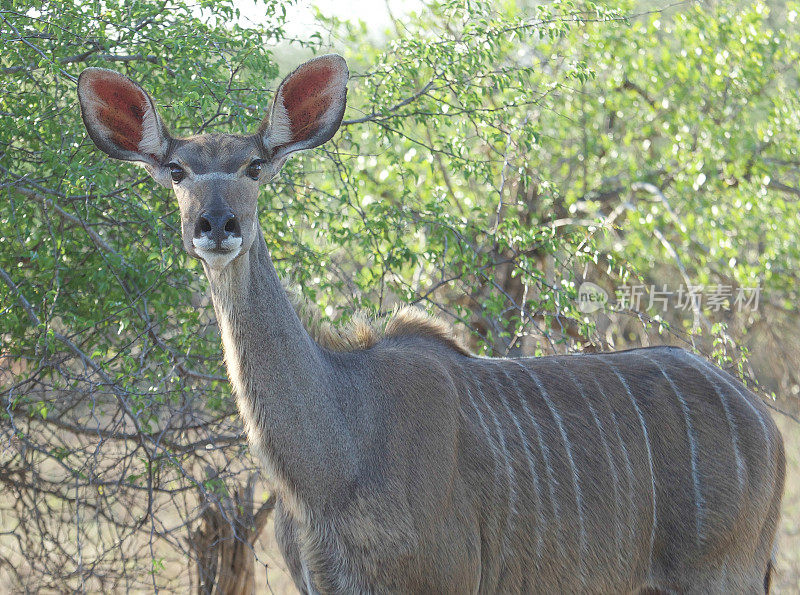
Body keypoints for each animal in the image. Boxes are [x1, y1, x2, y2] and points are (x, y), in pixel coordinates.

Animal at [78, 54, 784, 592]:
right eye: (176, 171)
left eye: (255, 166)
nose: (217, 225)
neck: (336, 456)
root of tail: (764, 424)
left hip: (720, 578)